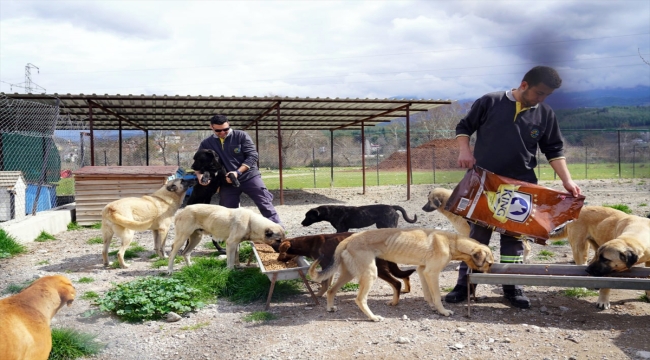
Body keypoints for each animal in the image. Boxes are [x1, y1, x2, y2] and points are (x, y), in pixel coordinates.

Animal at [270, 233, 416, 304]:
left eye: (281, 251)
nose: (277, 260)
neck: (309, 243)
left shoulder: (325, 264)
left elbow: (324, 283)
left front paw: (319, 294)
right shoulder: (330, 267)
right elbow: (327, 282)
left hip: (379, 268)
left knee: (396, 283)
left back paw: (394, 302)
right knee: (405, 275)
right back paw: (406, 289)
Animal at [308, 228, 492, 320]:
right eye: (489, 263)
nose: (490, 272)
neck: (451, 242)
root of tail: (348, 239)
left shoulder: (423, 271)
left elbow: (428, 295)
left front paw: (433, 307)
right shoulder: (432, 273)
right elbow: (437, 296)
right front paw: (443, 312)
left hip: (350, 274)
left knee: (331, 290)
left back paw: (330, 308)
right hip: (370, 274)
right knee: (360, 299)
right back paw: (373, 317)